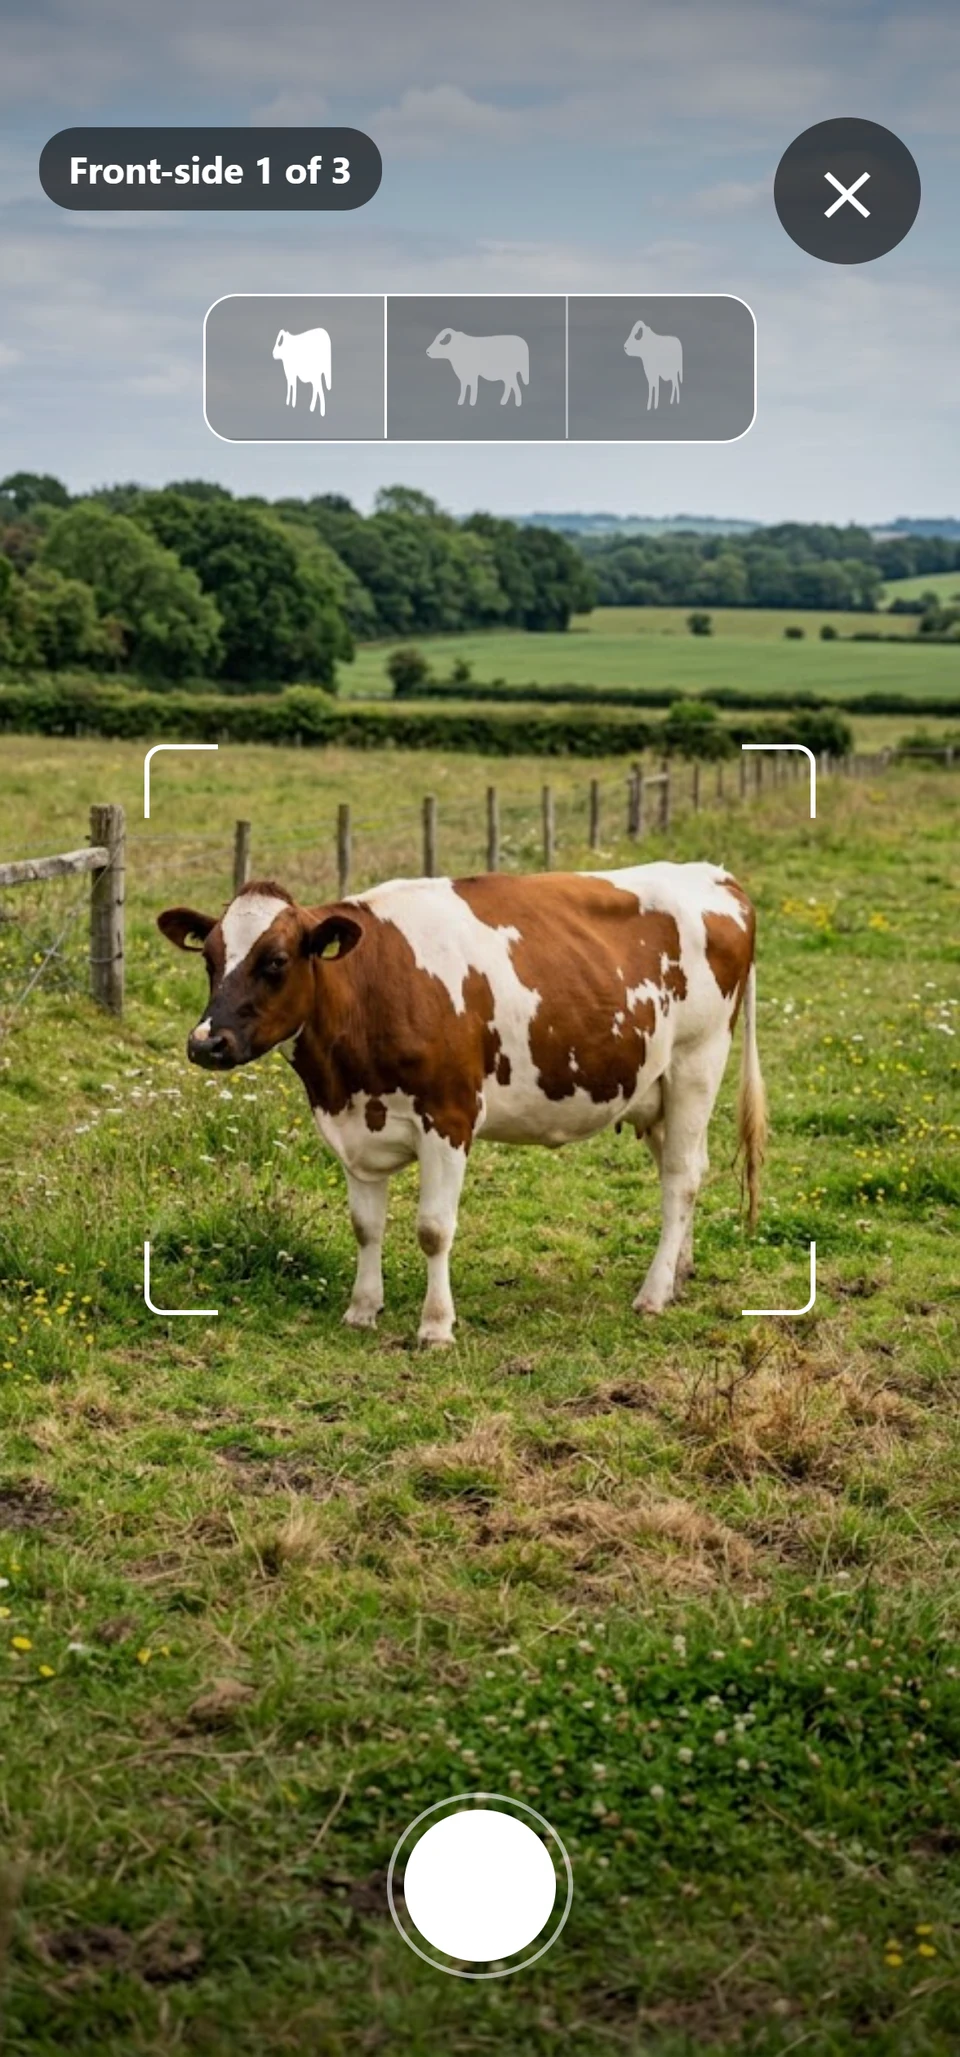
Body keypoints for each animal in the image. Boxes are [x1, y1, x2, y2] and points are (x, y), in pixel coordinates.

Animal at [158, 863, 766, 1346]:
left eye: (277, 961)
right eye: (209, 958)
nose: (206, 1042)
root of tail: (714, 874)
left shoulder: (448, 1118)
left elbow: (433, 1228)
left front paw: (435, 1326)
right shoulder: (354, 1126)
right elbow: (365, 1226)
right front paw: (362, 1310)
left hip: (697, 1062)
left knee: (681, 1178)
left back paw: (654, 1293)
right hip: (653, 1087)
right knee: (686, 1171)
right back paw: (680, 1273)